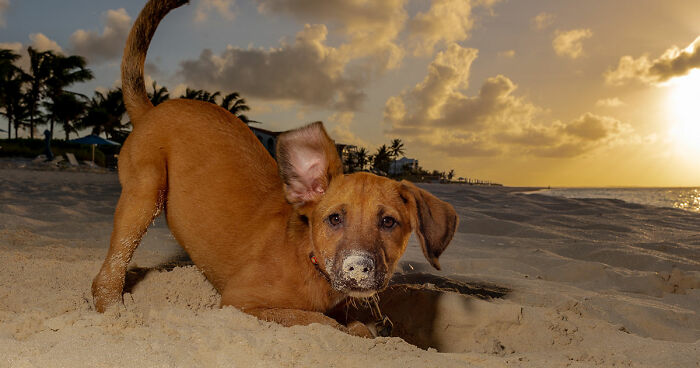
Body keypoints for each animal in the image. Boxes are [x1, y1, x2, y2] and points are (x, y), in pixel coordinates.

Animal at [89, 0, 460, 336]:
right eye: (334, 219)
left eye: (388, 222)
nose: (358, 268)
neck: (309, 259)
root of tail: (153, 109)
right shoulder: (241, 302)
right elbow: (320, 322)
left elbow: (346, 323)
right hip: (145, 193)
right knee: (109, 271)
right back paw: (114, 310)